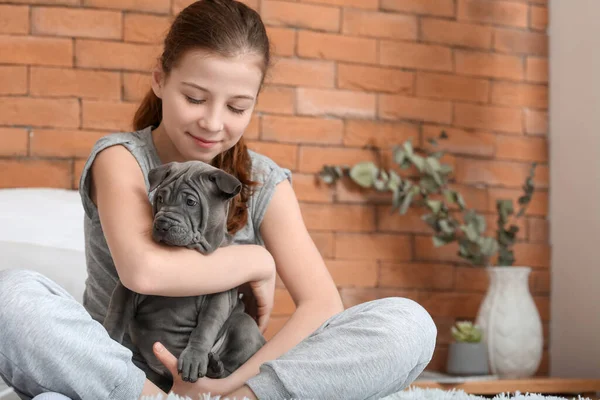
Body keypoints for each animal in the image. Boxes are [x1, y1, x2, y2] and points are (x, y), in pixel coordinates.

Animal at [102, 161, 264, 382]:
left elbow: (204, 328)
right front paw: (107, 340)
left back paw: (215, 367)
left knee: (230, 370)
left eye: (190, 202)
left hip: (244, 325)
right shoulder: (126, 288)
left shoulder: (218, 299)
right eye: (160, 198)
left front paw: (194, 358)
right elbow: (116, 315)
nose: (162, 224)